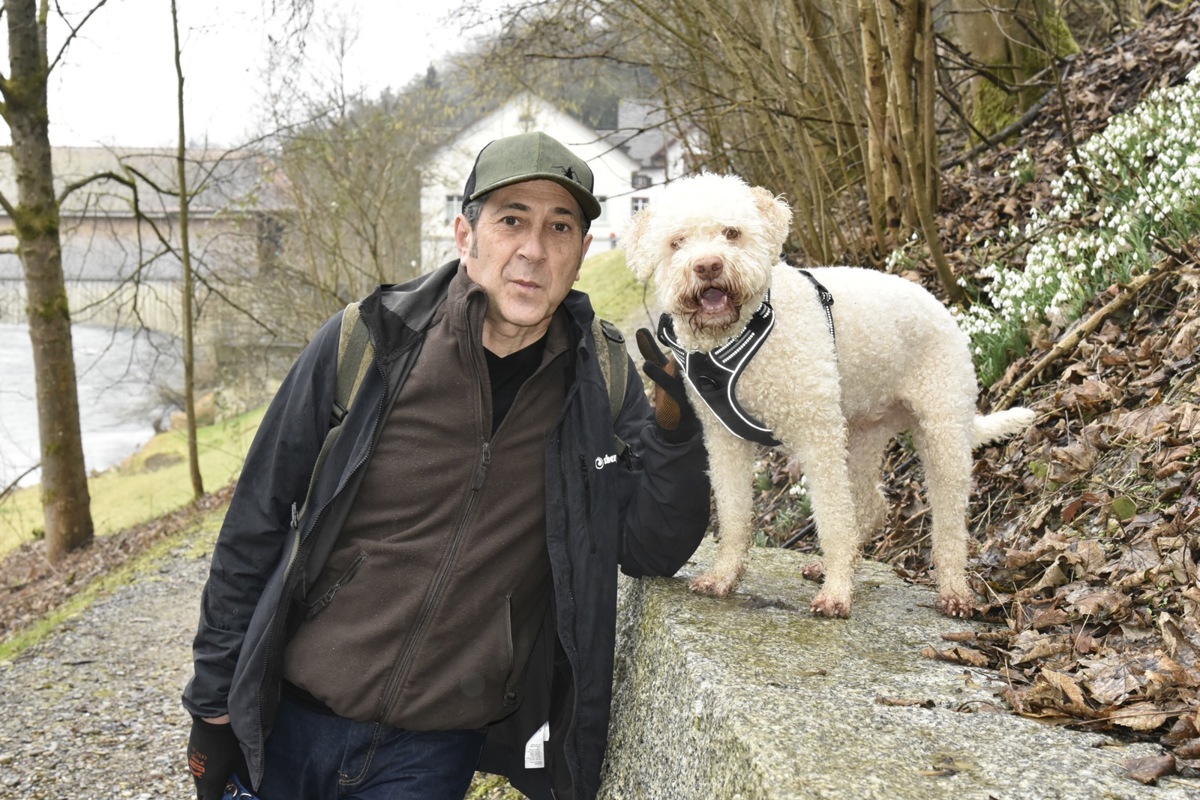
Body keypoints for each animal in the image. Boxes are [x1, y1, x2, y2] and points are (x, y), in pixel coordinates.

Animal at [628, 172, 1032, 618]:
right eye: (677, 242)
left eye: (731, 233)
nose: (708, 266)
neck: (745, 331)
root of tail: (946, 312)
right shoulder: (724, 442)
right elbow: (734, 516)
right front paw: (723, 576)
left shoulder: (816, 433)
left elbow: (833, 518)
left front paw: (837, 595)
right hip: (860, 436)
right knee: (871, 508)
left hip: (940, 432)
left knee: (947, 521)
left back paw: (954, 590)